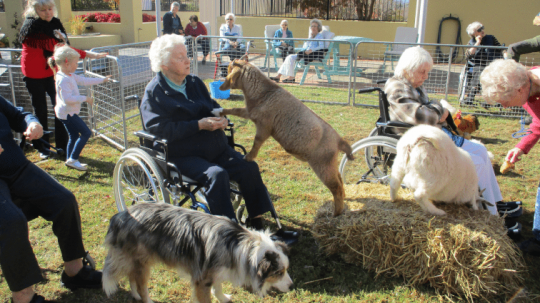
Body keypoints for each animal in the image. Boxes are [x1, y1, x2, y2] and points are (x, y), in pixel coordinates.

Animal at [219, 60, 354, 216]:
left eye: (230, 68)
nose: (221, 86)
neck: (265, 93)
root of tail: (339, 141)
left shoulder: (264, 125)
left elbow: (257, 142)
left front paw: (248, 157)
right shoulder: (250, 112)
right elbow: (235, 110)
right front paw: (219, 111)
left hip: (323, 165)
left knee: (336, 187)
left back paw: (336, 213)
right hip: (331, 163)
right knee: (340, 180)